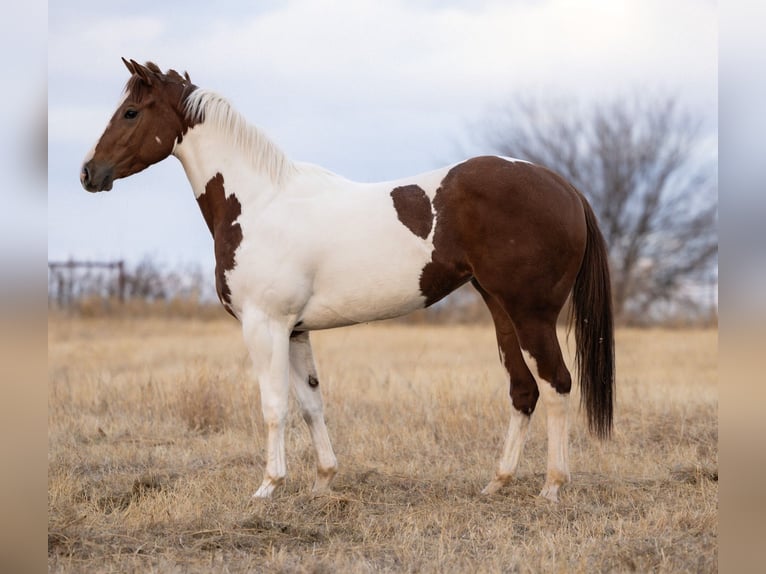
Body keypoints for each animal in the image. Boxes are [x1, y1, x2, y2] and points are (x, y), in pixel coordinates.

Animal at [81, 59, 614, 503]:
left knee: (557, 384)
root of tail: (565, 186)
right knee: (524, 390)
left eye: (130, 112)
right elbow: (310, 403)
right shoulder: (296, 330)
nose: (88, 173)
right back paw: (497, 483)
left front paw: (267, 487)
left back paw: (552, 487)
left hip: (532, 316)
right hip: (501, 309)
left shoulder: (264, 325)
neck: (259, 201)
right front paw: (323, 482)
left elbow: (274, 405)